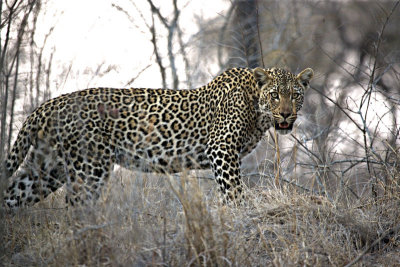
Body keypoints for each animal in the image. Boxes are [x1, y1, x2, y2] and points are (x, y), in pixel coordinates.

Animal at [1, 66, 314, 208]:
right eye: (275, 95)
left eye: (295, 95)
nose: (286, 115)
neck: (256, 109)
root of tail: (49, 104)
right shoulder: (222, 148)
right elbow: (233, 191)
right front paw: (241, 214)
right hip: (89, 167)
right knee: (76, 206)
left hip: (48, 167)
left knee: (12, 194)